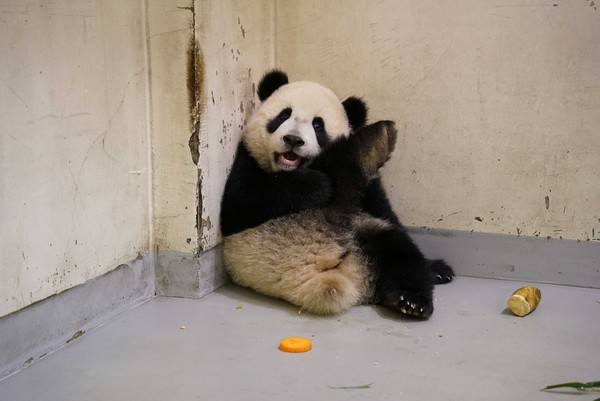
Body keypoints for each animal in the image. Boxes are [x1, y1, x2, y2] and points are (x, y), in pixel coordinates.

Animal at [221, 69, 454, 318]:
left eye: (318, 126)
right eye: (283, 115)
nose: (293, 140)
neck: (292, 171)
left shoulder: (372, 188)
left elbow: (385, 211)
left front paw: (437, 269)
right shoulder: (247, 158)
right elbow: (241, 202)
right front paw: (319, 184)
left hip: (364, 228)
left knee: (400, 252)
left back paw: (411, 300)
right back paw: (370, 145)